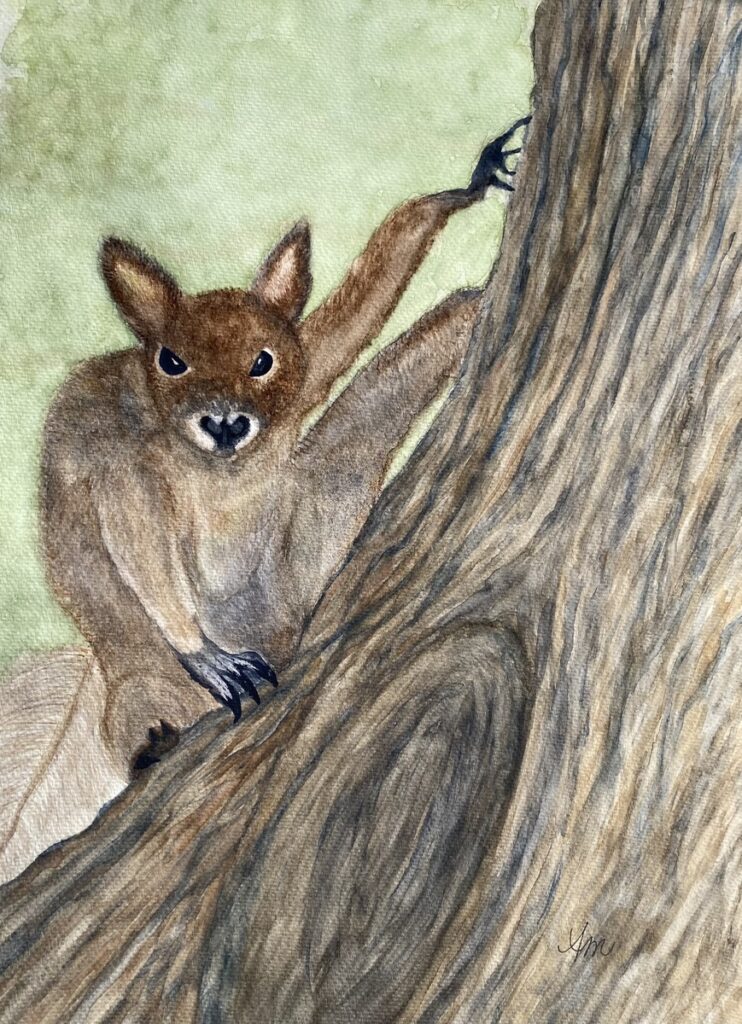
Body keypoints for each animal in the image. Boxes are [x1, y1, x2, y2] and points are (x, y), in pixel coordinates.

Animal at [39, 118, 529, 776]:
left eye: (263, 361)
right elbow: (135, 537)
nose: (225, 424)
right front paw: (205, 656)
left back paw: (471, 307)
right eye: (171, 361)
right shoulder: (121, 456)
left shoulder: (307, 369)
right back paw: (155, 734)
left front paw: (475, 180)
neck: (222, 472)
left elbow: (359, 306)